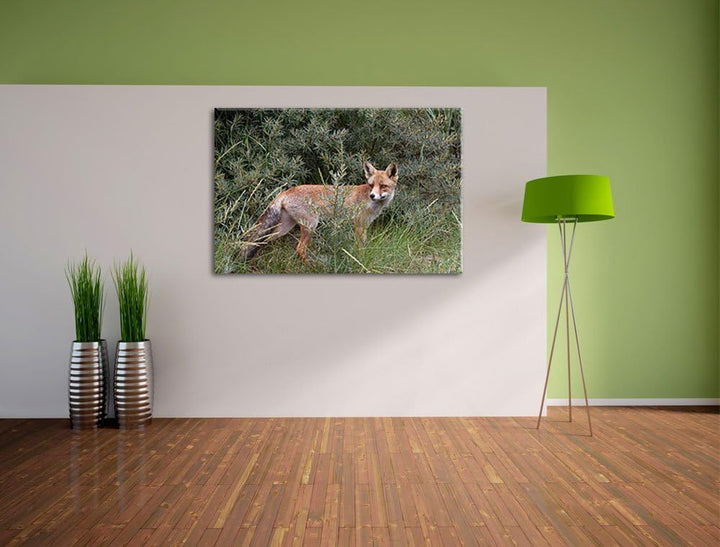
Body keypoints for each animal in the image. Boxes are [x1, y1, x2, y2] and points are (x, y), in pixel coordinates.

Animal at [239, 161, 398, 262]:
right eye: (371, 185)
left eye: (383, 186)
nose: (372, 195)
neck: (370, 203)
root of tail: (286, 191)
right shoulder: (359, 226)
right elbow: (360, 249)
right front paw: (360, 260)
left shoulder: (363, 226)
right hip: (311, 225)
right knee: (300, 250)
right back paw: (311, 266)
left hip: (284, 228)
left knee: (259, 241)